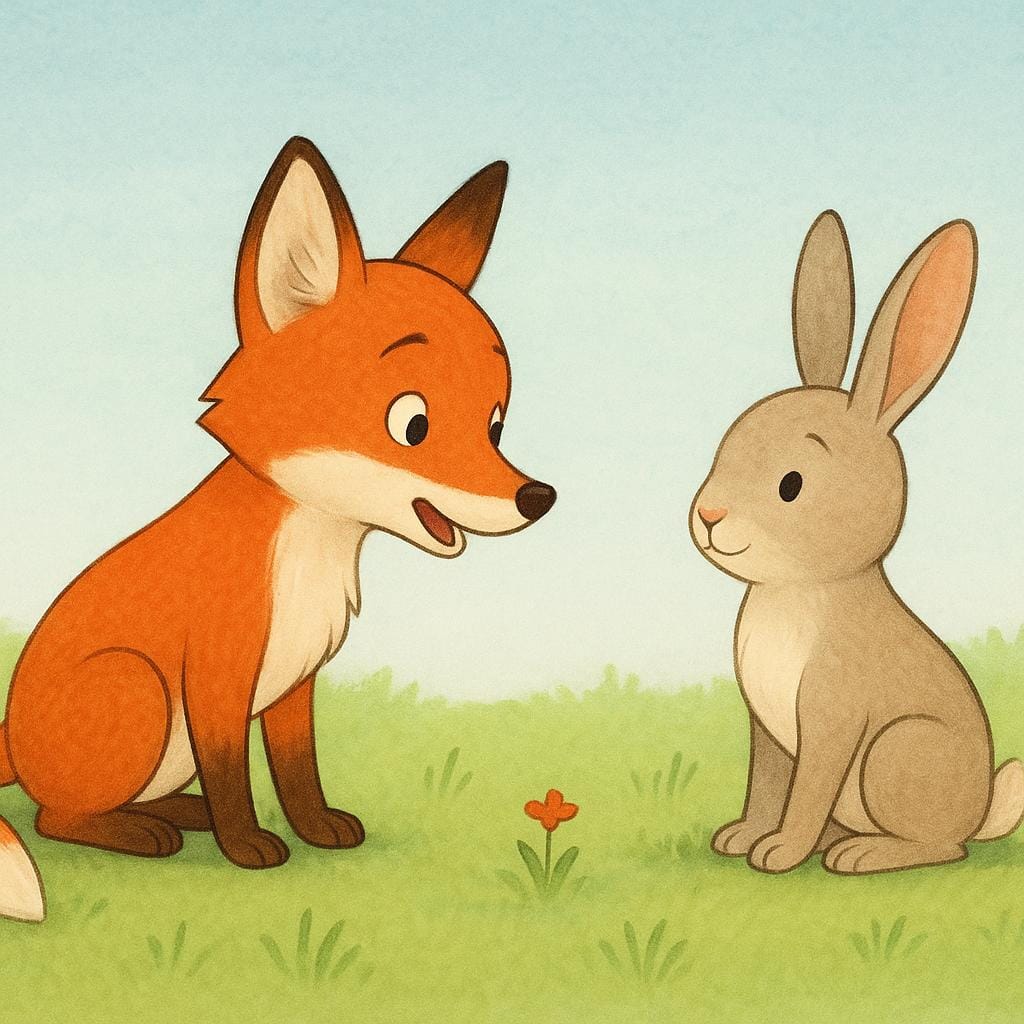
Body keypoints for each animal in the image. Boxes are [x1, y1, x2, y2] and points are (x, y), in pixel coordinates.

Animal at [0, 136, 556, 921]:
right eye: (412, 425)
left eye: (496, 424)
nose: (537, 497)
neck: (312, 545)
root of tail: (11, 737)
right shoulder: (216, 677)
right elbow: (234, 773)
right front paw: (247, 847)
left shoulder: (297, 679)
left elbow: (297, 771)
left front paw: (315, 828)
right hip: (135, 685)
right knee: (55, 817)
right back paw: (143, 833)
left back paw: (178, 813)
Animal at [689, 210, 1024, 874]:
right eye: (724, 448)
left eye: (791, 484)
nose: (708, 516)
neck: (801, 590)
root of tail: (980, 812)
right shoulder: (768, 731)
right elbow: (768, 786)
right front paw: (743, 837)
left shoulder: (832, 720)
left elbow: (806, 791)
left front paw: (778, 853)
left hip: (897, 752)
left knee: (943, 846)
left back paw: (860, 854)